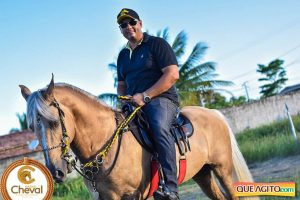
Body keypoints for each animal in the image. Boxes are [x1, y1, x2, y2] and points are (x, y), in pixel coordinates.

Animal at [20, 76, 255, 199]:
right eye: (31, 126)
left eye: (53, 122)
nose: (56, 172)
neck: (106, 145)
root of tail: (213, 113)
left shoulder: (137, 195)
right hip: (203, 174)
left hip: (222, 170)